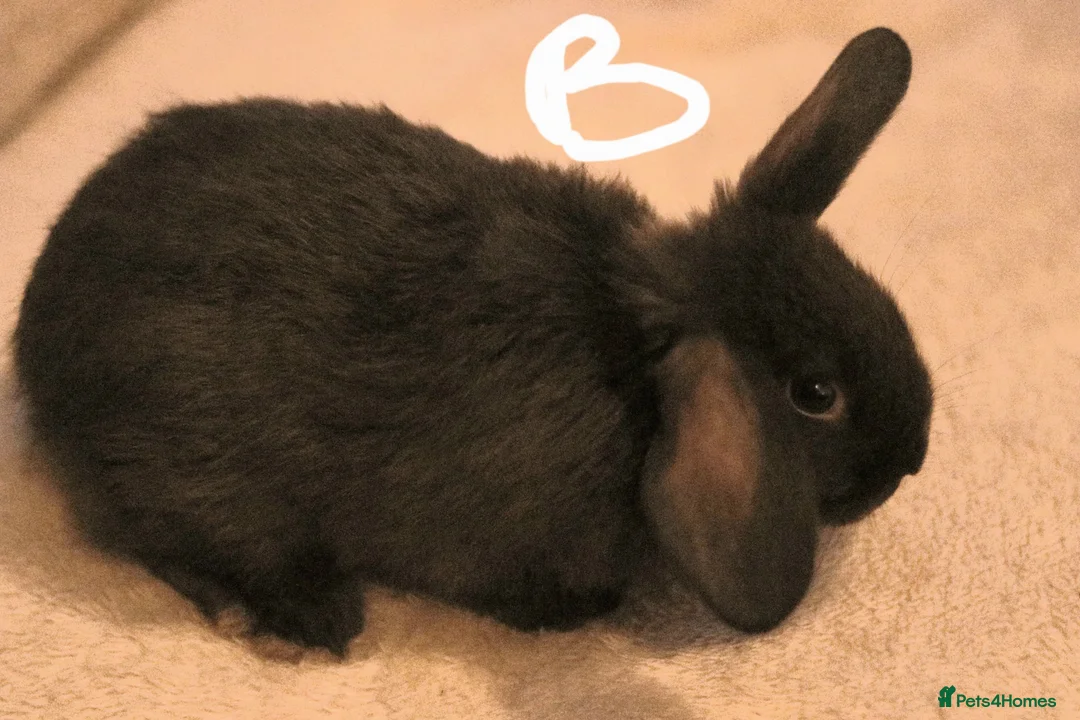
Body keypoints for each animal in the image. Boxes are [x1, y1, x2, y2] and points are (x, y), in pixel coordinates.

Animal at [12, 27, 932, 658]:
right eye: (817, 395)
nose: (909, 465)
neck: (634, 357)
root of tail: (34, 339)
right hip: (195, 479)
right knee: (154, 538)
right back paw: (298, 616)